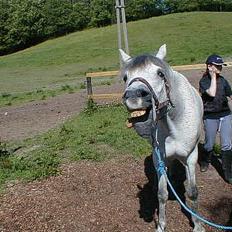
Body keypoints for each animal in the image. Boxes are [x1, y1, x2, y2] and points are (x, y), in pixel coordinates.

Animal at [119, 44, 205, 232]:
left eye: (160, 73)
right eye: (125, 77)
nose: (134, 96)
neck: (173, 124)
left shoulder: (191, 157)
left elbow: (193, 193)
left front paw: (197, 225)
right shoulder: (159, 157)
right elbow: (162, 194)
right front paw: (161, 225)